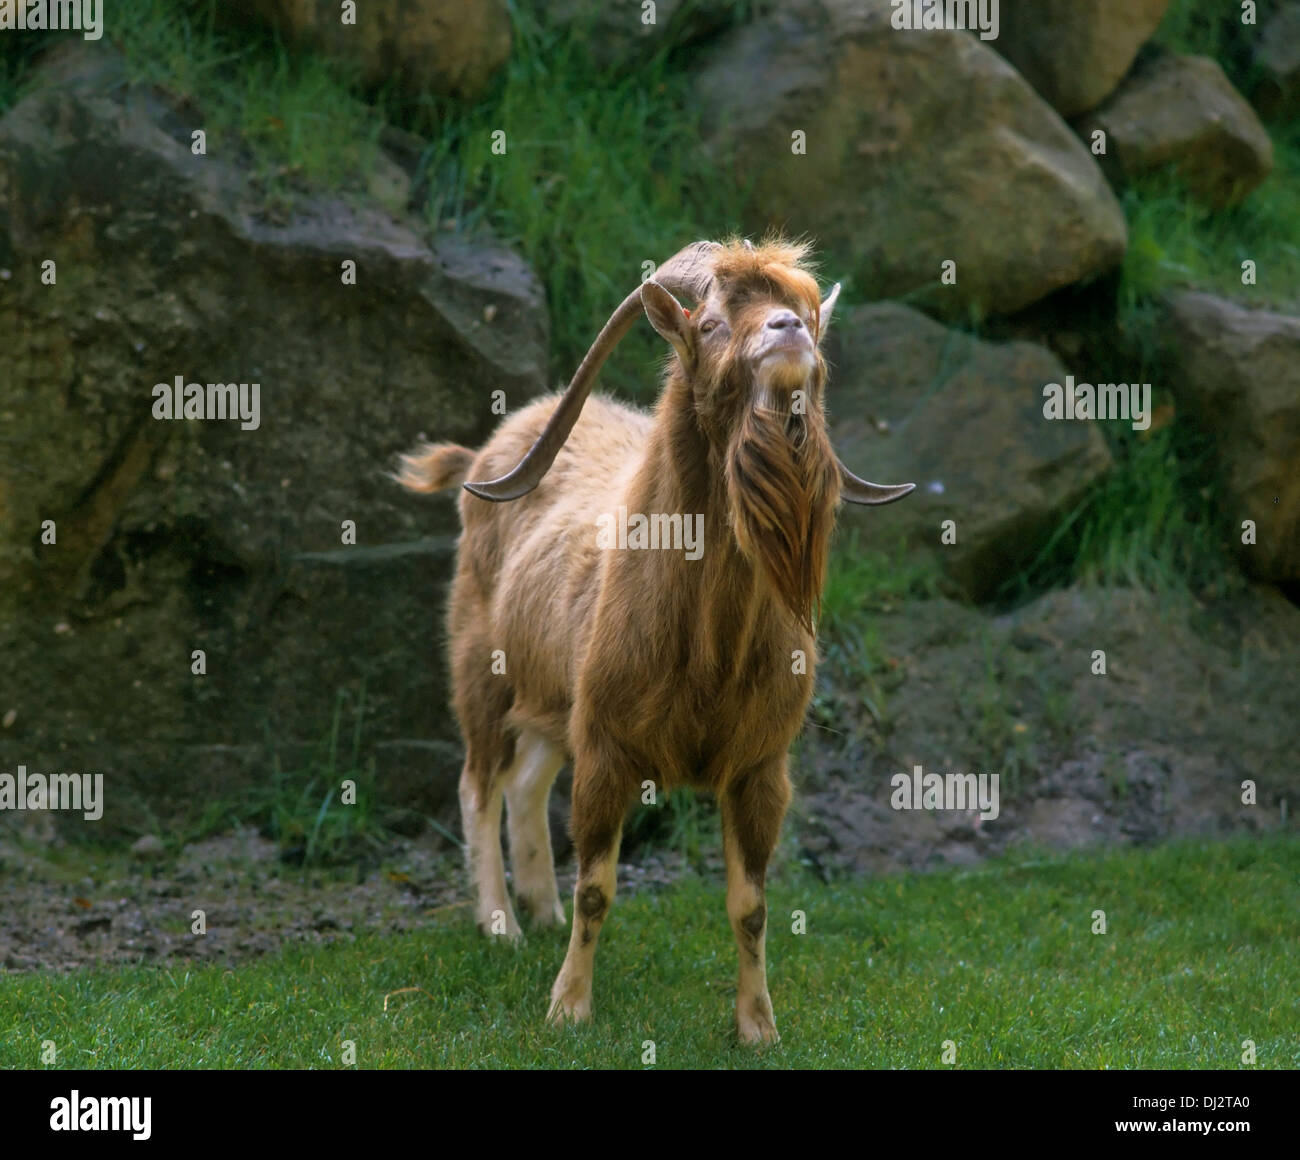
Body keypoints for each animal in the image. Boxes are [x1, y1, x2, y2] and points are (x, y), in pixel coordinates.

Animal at [396, 237, 913, 1043]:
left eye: (800, 309)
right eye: (710, 322)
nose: (789, 330)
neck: (706, 646)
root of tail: (488, 453)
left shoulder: (760, 766)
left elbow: (750, 905)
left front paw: (757, 1026)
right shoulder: (607, 749)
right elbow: (599, 889)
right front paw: (568, 1008)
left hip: (556, 701)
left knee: (526, 782)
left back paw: (540, 912)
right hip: (481, 663)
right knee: (479, 780)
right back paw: (501, 926)